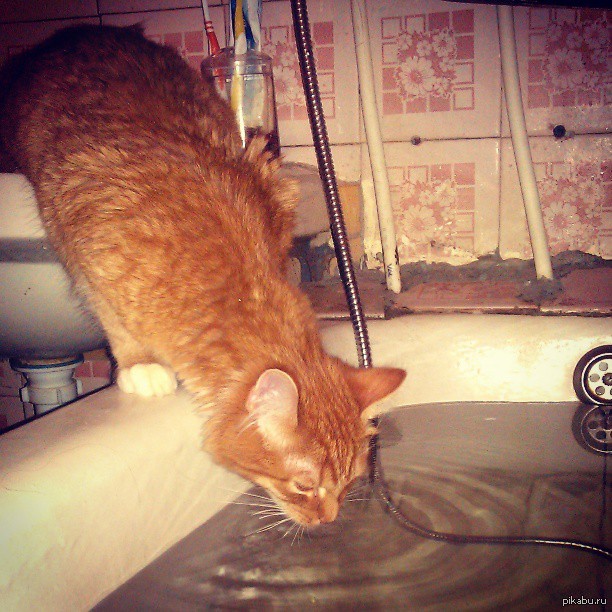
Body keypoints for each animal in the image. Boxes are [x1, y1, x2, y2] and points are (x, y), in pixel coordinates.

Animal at [0, 25, 405, 526]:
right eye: (304, 485)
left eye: (349, 481)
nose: (328, 520)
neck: (238, 291)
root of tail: (86, 33)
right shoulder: (88, 259)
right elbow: (117, 327)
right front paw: (139, 366)